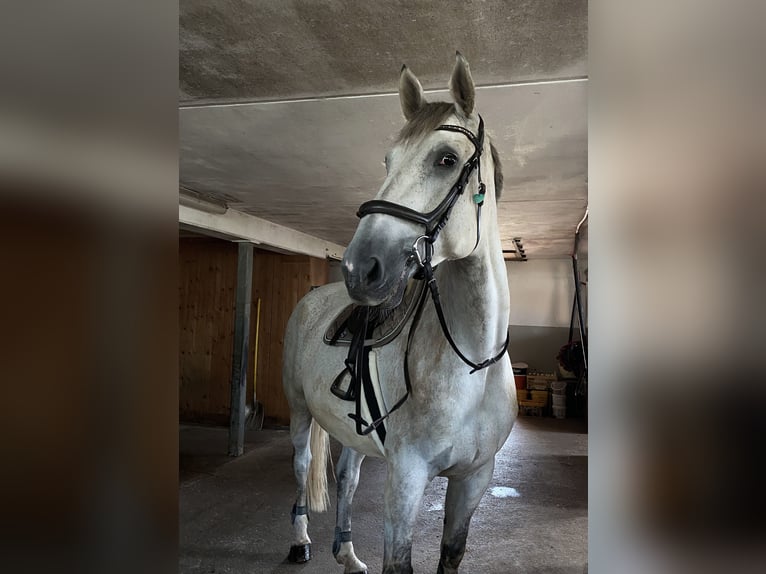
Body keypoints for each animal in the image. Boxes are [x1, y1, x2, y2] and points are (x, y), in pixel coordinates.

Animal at [282, 54, 516, 574]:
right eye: (388, 161)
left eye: (446, 159)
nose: (358, 268)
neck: (473, 361)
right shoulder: (406, 481)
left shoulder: (473, 479)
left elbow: (451, 554)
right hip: (300, 411)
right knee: (303, 467)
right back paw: (301, 541)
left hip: (351, 431)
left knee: (347, 478)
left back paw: (348, 554)